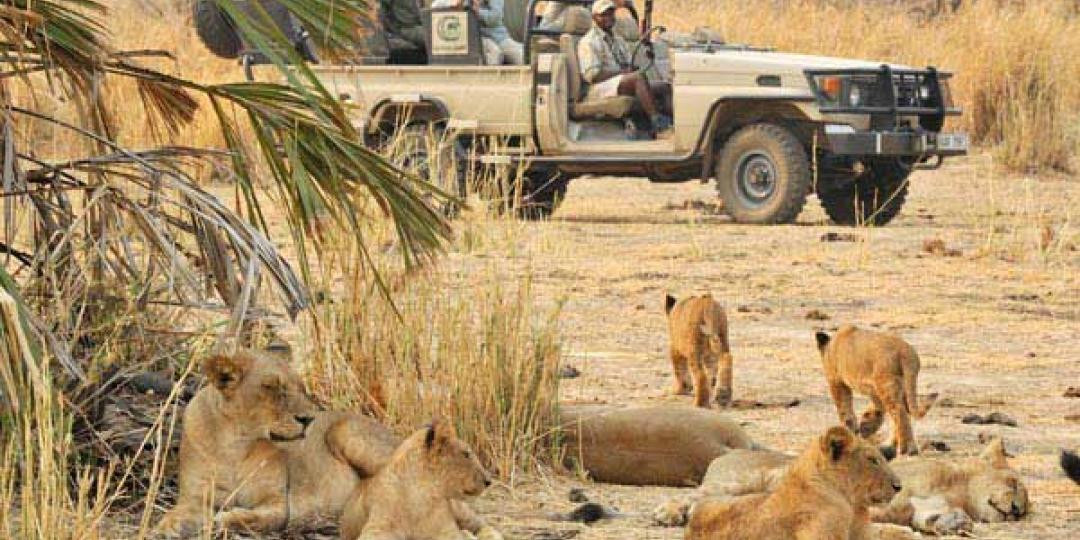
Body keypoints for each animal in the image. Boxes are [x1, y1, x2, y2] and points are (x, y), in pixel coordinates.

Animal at [339, 421, 503, 540]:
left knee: (482, 525)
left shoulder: (445, 530)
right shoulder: (378, 527)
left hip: (460, 510)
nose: (488, 481)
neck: (422, 494)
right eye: (466, 454)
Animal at [816, 324, 928, 455]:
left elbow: (844, 409)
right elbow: (876, 409)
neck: (830, 347)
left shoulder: (837, 382)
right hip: (902, 386)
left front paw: (850, 431)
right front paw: (865, 425)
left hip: (886, 384)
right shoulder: (873, 390)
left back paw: (907, 449)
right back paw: (891, 444)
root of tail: (906, 352)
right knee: (904, 412)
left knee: (899, 412)